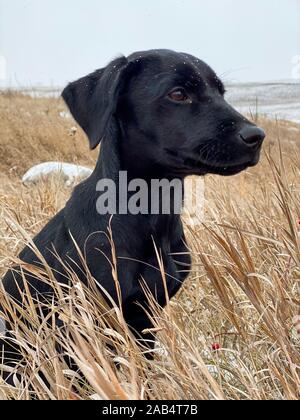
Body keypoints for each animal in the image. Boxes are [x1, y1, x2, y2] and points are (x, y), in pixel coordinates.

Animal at [0, 48, 264, 378]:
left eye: (221, 93)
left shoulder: (145, 319)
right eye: (178, 94)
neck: (149, 215)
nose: (256, 136)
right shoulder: (81, 325)